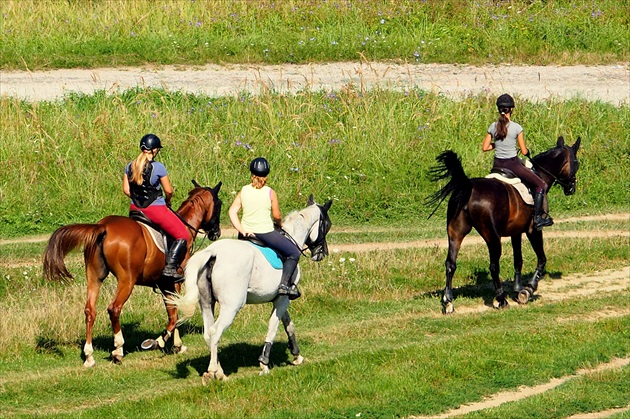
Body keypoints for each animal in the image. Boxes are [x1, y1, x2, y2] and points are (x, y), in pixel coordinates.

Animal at [42, 180, 225, 368]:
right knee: (114, 309)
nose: (216, 233)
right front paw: (163, 342)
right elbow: (176, 313)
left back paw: (89, 356)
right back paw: (118, 350)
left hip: (94, 276)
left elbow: (172, 312)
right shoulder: (174, 282)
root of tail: (104, 226)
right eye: (219, 205)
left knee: (90, 311)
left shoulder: (164, 284)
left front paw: (175, 344)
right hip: (127, 280)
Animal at [168, 195, 336, 386]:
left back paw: (220, 372)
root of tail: (213, 252)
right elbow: (273, 327)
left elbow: (289, 325)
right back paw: (212, 372)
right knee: (215, 331)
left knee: (208, 334)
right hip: (231, 306)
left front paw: (296, 355)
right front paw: (264, 364)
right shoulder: (283, 299)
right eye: (327, 224)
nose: (322, 253)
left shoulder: (279, 298)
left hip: (206, 303)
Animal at [430, 136, 584, 314]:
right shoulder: (533, 230)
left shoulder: (515, 232)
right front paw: (528, 290)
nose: (571, 188)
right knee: (493, 266)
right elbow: (541, 259)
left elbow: (518, 259)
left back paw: (448, 301)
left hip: (456, 233)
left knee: (450, 264)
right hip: (492, 237)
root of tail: (468, 186)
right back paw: (500, 299)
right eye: (576, 162)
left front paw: (517, 288)